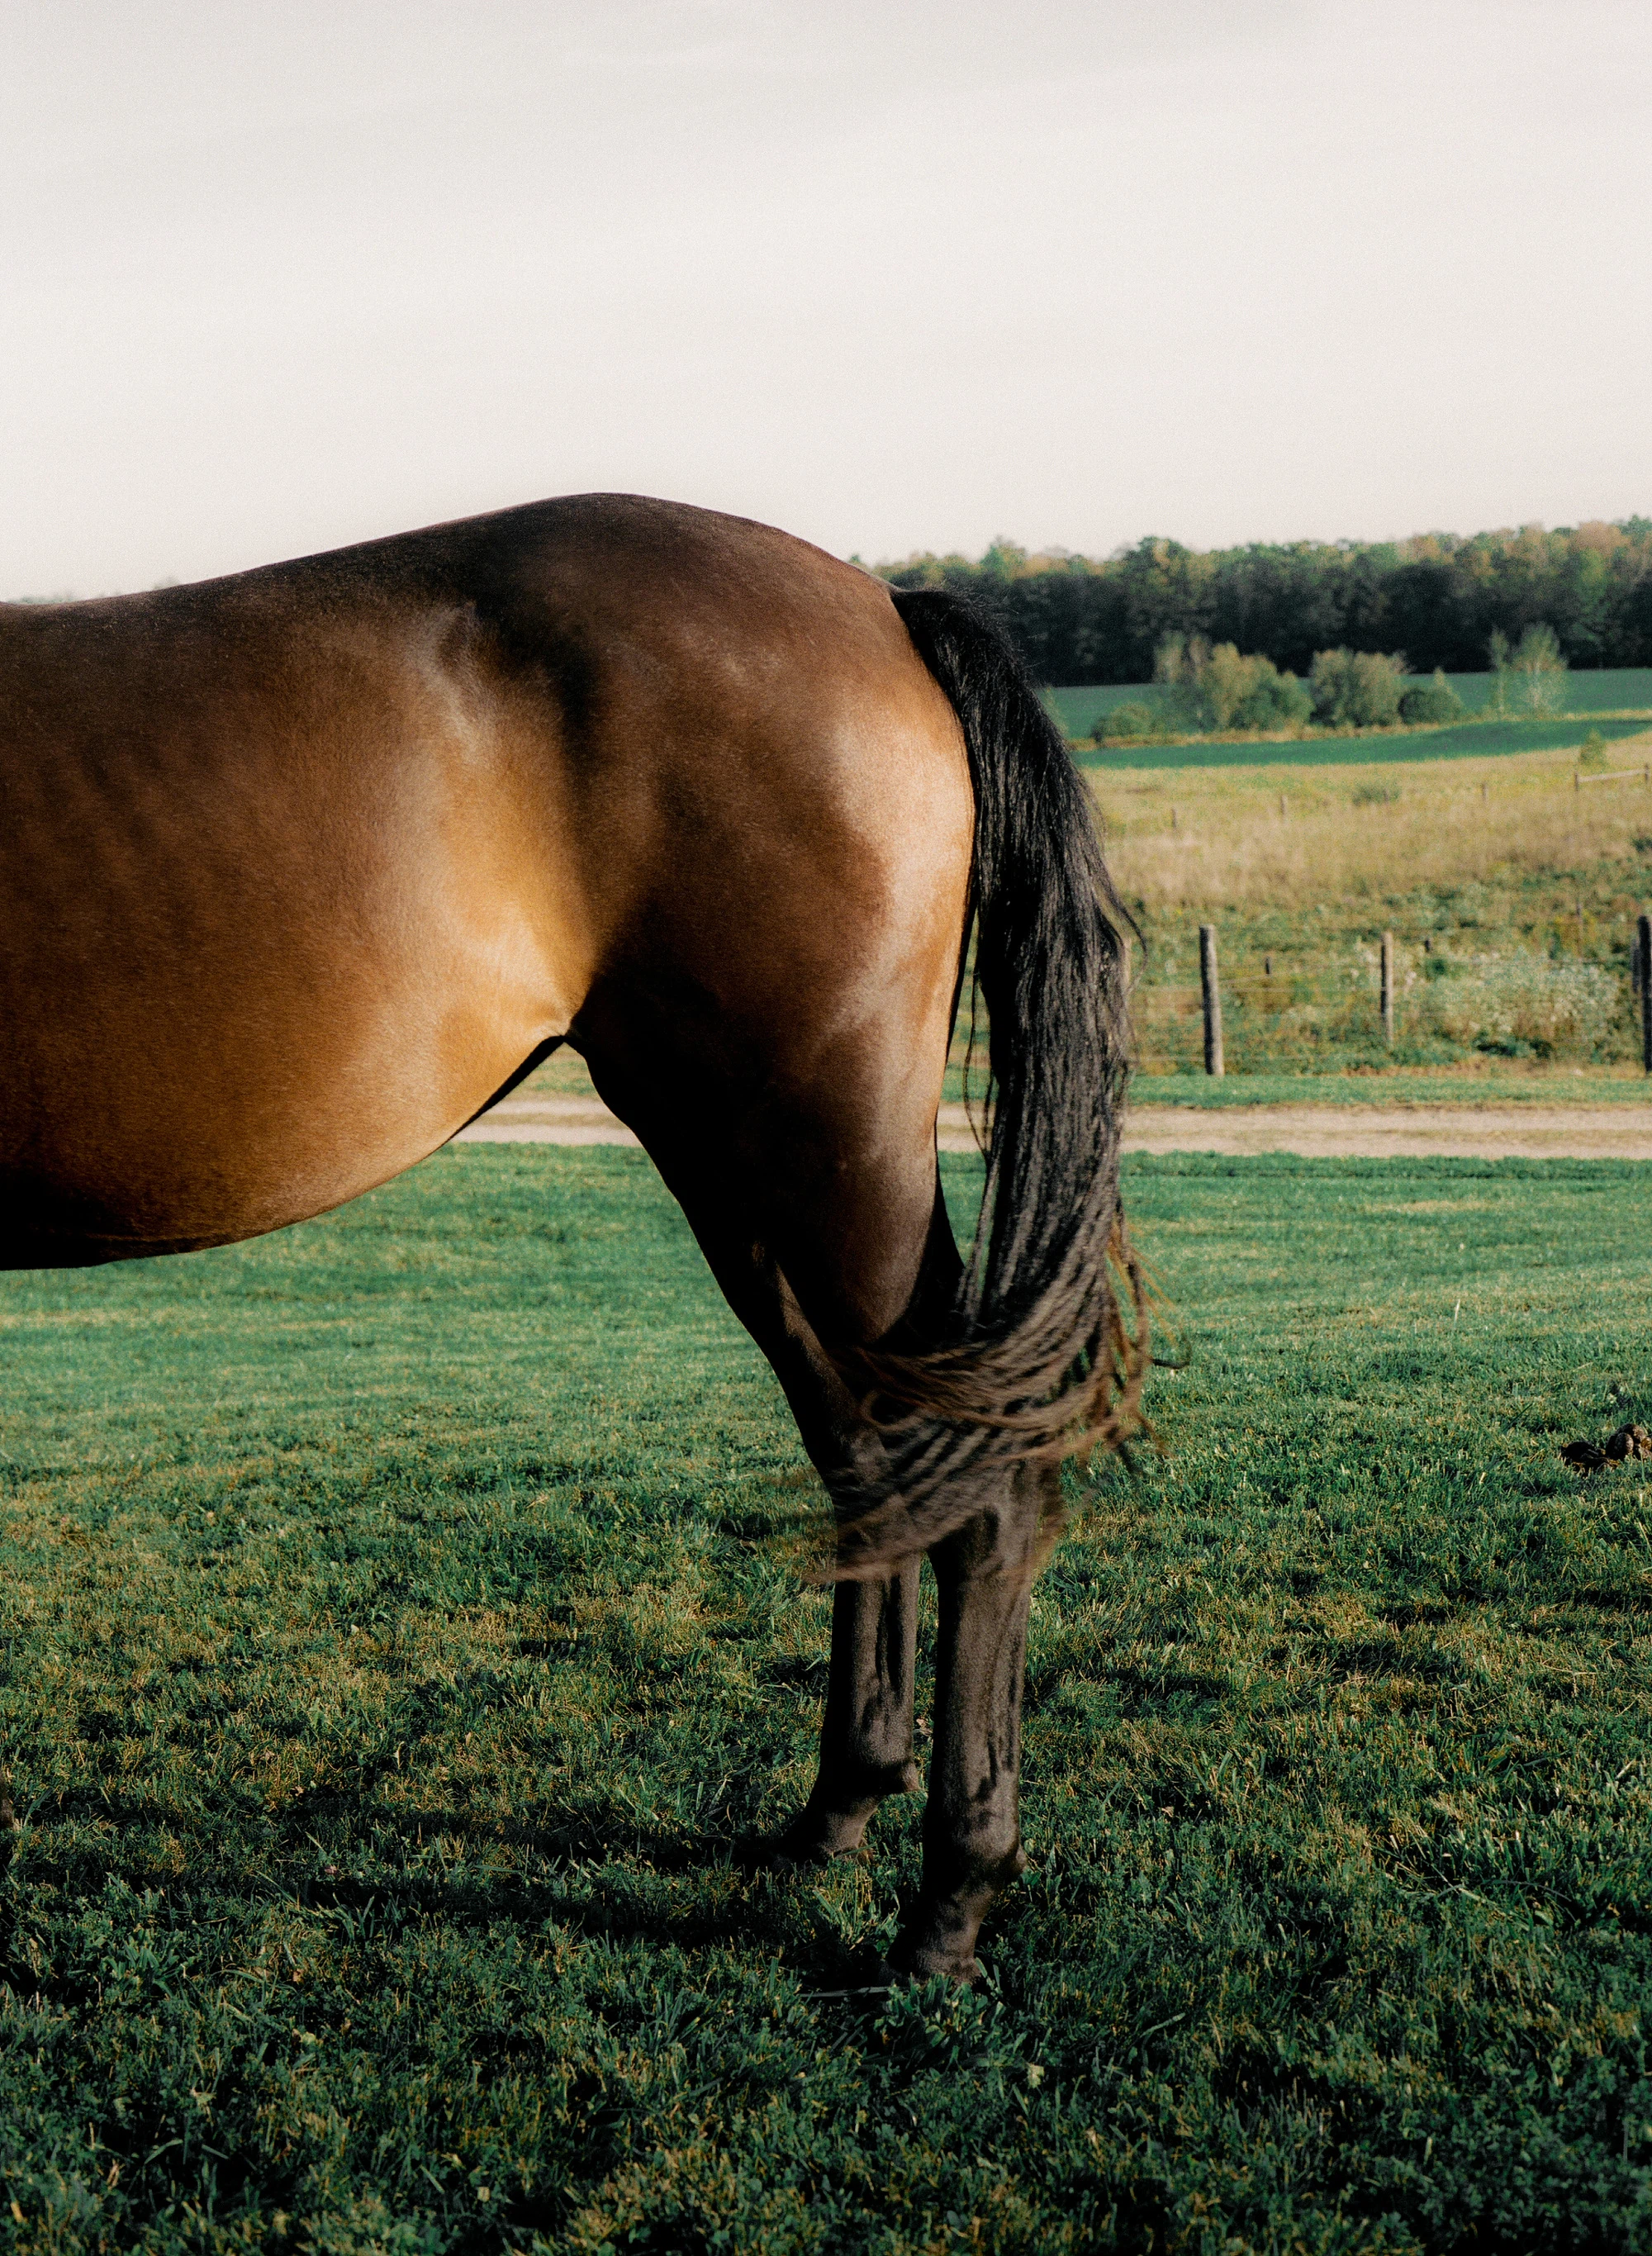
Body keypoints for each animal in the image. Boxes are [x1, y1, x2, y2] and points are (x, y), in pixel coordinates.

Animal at [2, 503, 1137, 1985]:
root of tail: (881, 605)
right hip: (736, 1169)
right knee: (869, 1463)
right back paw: (835, 1810)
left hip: (832, 1157)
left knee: (978, 1494)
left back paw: (952, 1895)